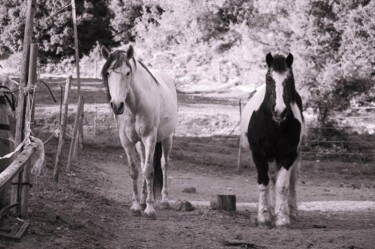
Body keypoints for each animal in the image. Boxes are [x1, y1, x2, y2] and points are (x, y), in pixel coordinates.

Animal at [100, 45, 178, 219]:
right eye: (108, 73)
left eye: (128, 73)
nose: (117, 105)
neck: (134, 106)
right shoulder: (126, 141)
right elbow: (135, 170)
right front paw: (136, 206)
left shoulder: (149, 138)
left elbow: (149, 171)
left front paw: (150, 209)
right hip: (140, 144)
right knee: (143, 163)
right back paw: (142, 200)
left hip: (167, 138)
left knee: (164, 164)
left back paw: (164, 200)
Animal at [241, 53, 306, 228]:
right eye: (269, 78)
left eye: (289, 79)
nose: (280, 111)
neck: (275, 125)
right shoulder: (258, 154)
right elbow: (264, 182)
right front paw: (264, 216)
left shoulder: (289, 155)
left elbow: (282, 185)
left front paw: (282, 217)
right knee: (271, 178)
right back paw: (271, 209)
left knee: (291, 180)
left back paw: (292, 211)